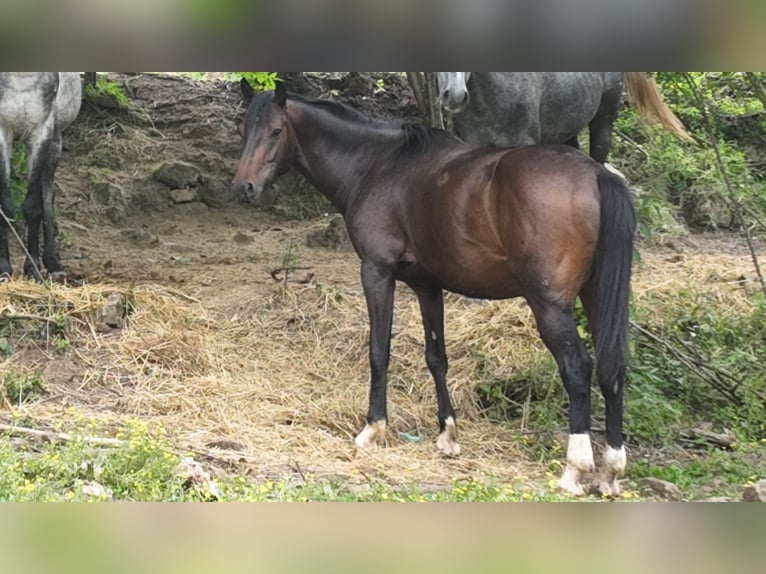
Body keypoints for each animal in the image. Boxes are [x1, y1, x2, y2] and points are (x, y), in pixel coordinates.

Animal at [0, 72, 82, 281]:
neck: (21, 80)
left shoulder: (41, 134)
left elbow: (33, 207)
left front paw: (33, 268)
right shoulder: (2, 133)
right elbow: (5, 206)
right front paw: (3, 268)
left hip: (55, 141)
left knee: (48, 192)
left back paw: (52, 260)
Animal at [232, 81, 636, 497]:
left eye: (275, 131)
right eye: (244, 131)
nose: (244, 187)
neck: (380, 166)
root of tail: (596, 174)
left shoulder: (377, 272)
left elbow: (379, 352)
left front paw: (374, 427)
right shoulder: (427, 286)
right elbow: (436, 357)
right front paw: (448, 434)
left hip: (550, 305)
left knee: (577, 368)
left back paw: (575, 468)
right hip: (595, 296)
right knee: (613, 367)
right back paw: (611, 469)